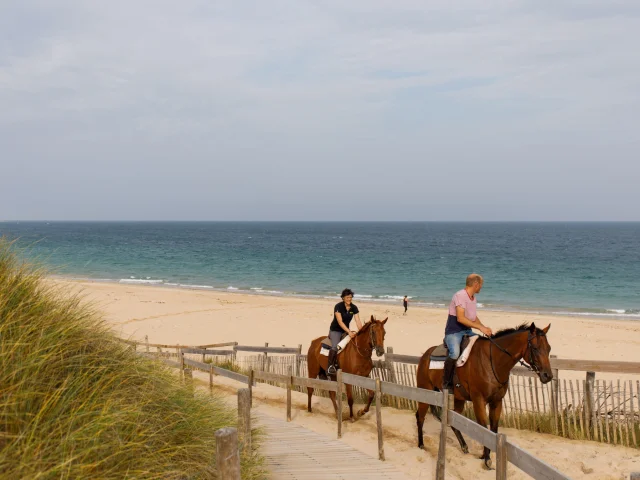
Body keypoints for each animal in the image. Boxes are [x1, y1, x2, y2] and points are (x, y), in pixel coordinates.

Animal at [418, 322, 552, 468]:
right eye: (535, 348)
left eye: (549, 349)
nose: (548, 376)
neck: (492, 361)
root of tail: (425, 355)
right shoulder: (479, 400)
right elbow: (483, 427)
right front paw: (487, 458)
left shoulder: (497, 402)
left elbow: (493, 429)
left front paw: (485, 455)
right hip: (424, 392)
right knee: (420, 416)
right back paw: (421, 444)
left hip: (458, 399)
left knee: (453, 421)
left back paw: (464, 446)